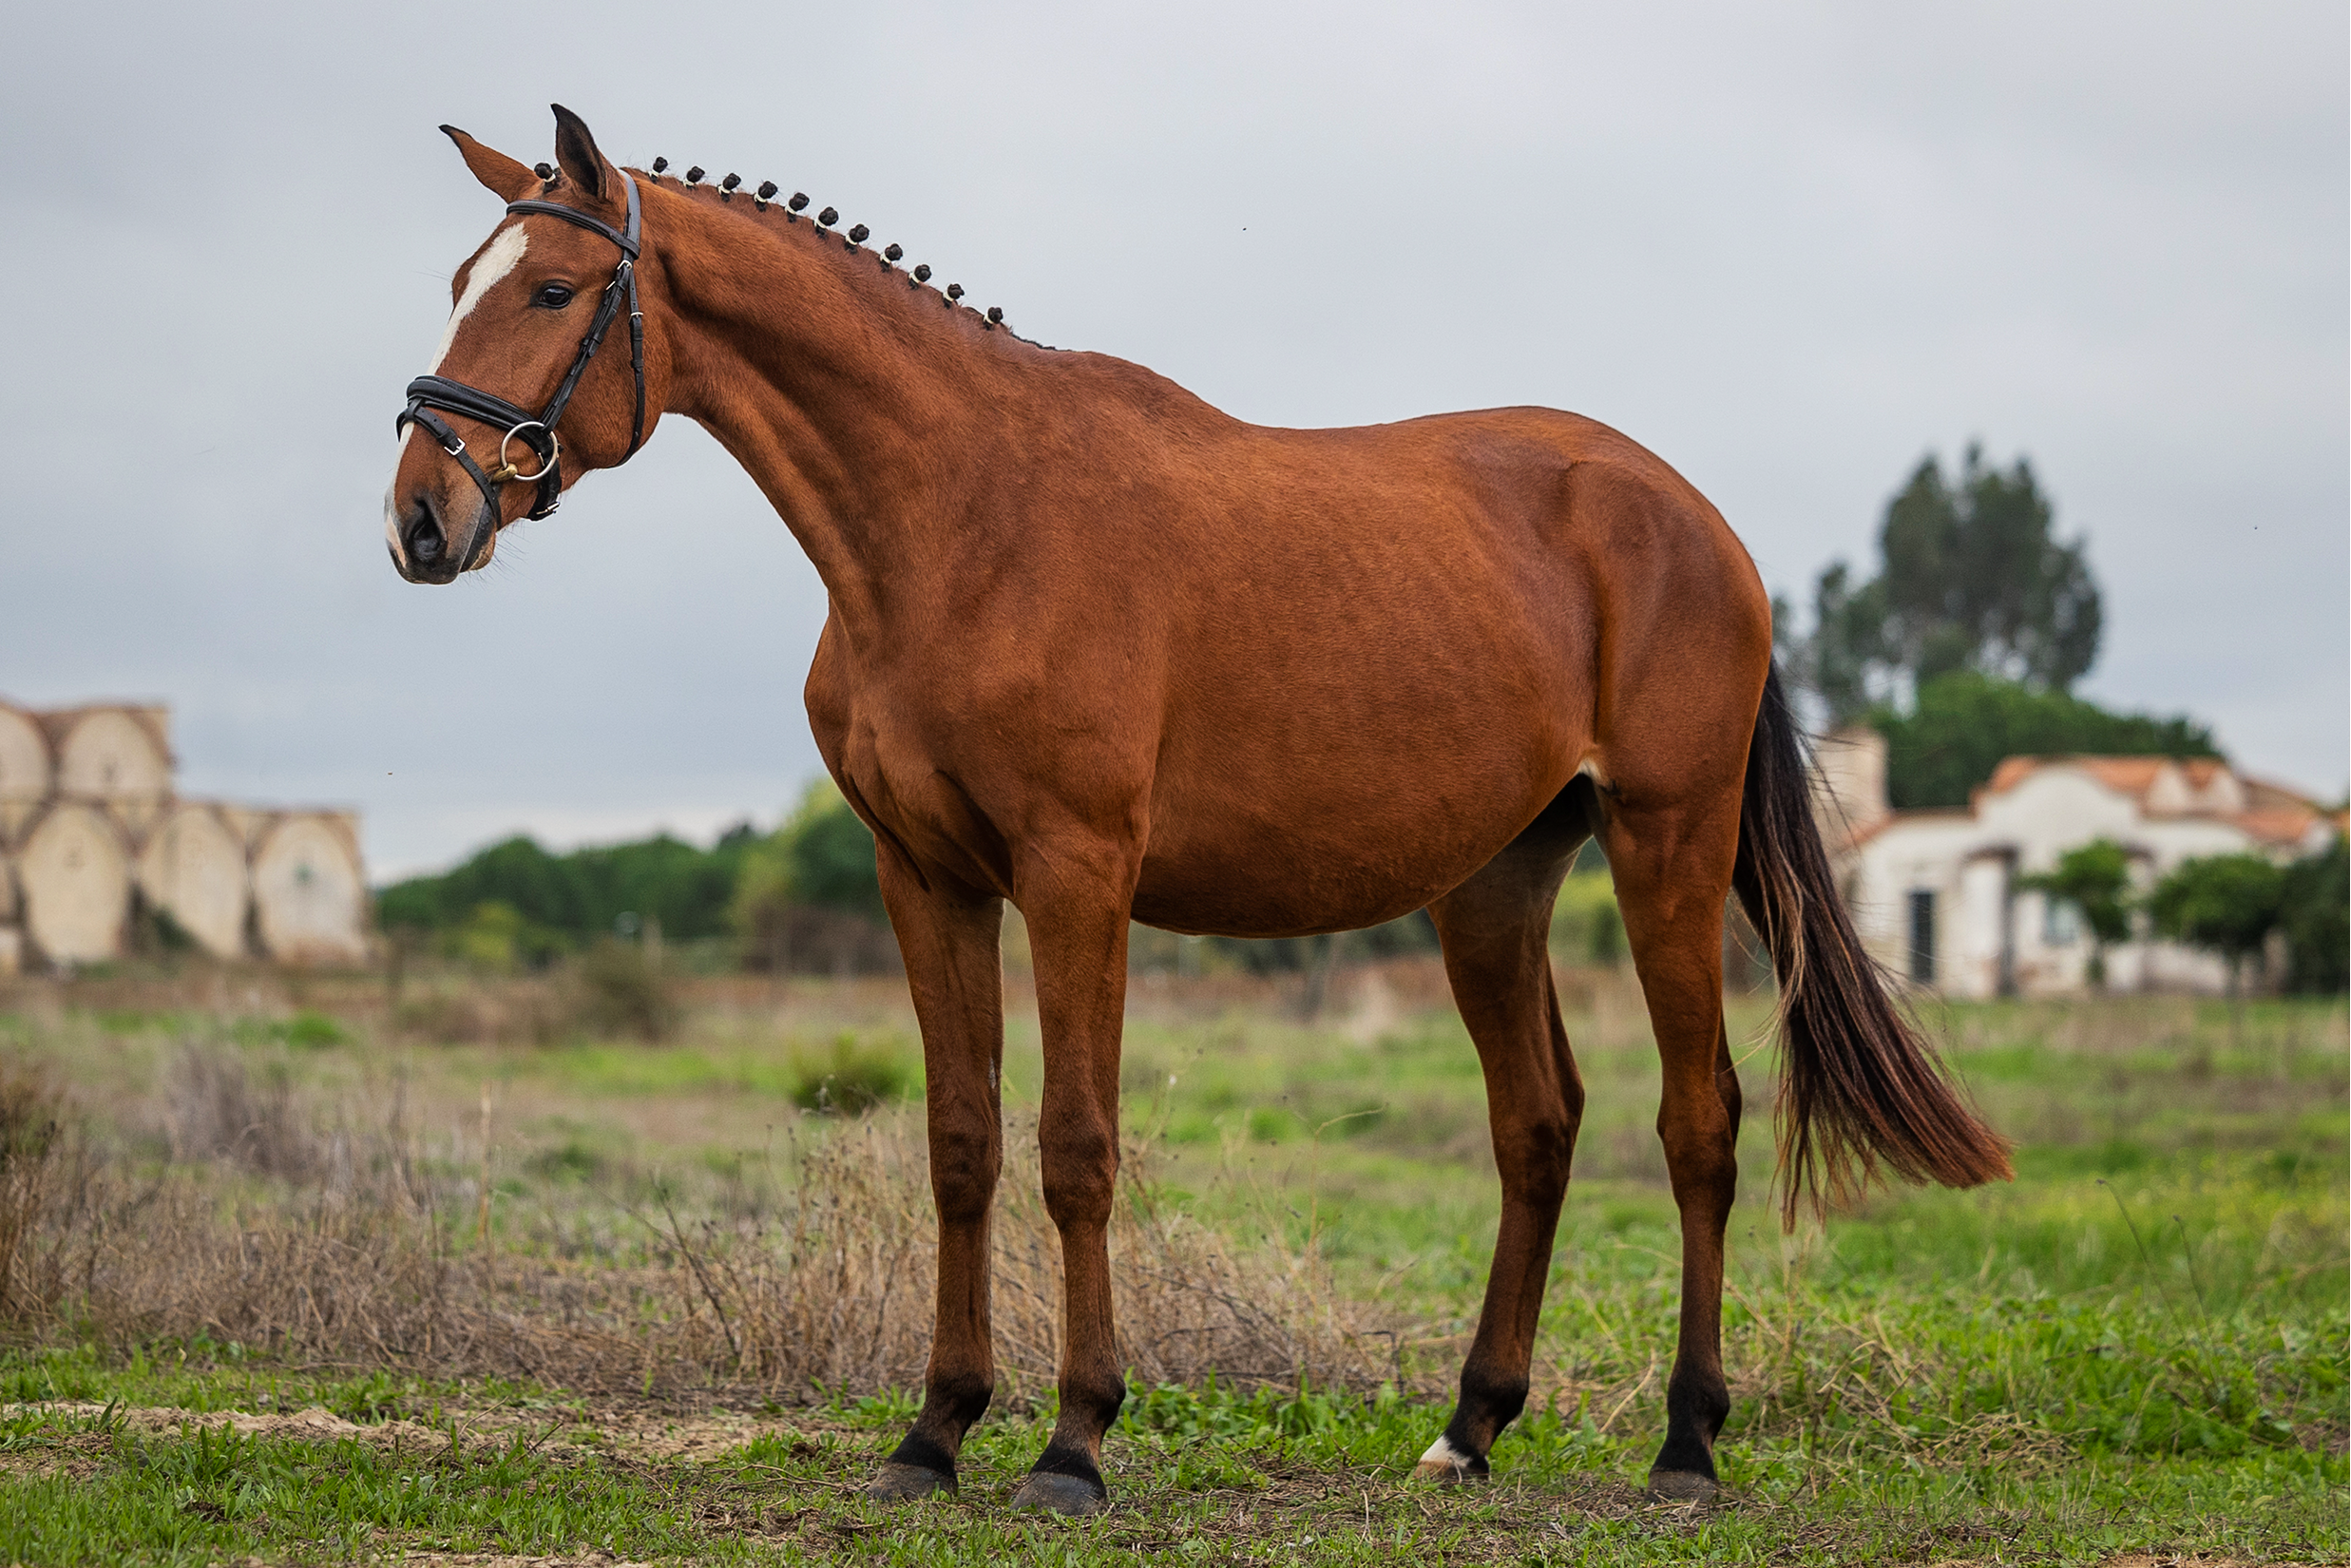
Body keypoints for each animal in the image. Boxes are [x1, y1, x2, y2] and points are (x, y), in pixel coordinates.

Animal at [380, 104, 2002, 1514]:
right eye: (460, 284)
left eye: (550, 287)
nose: (419, 516)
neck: (961, 521)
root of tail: (1691, 518)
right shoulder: (926, 875)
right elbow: (961, 1141)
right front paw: (932, 1430)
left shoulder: (1076, 874)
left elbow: (1074, 1145)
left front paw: (1072, 1441)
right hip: (1493, 887)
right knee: (1536, 1124)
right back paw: (1469, 1425)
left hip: (1669, 845)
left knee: (1698, 1119)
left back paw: (1684, 1440)